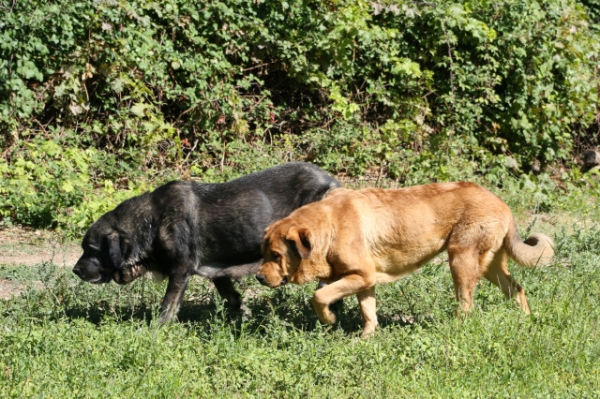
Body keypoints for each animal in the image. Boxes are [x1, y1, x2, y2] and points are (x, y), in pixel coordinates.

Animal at [72, 162, 340, 322]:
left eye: (91, 250)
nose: (75, 270)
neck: (151, 222)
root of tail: (332, 183)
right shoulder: (219, 274)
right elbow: (233, 299)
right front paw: (243, 318)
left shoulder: (181, 271)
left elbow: (167, 306)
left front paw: (155, 331)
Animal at [254, 183, 552, 336]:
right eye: (263, 253)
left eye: (276, 255)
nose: (258, 277)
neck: (329, 227)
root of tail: (503, 204)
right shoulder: (365, 281)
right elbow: (369, 313)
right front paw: (365, 340)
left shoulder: (359, 276)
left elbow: (319, 296)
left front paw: (329, 319)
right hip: (490, 266)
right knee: (517, 289)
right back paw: (526, 320)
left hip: (460, 262)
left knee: (466, 304)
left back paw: (454, 328)